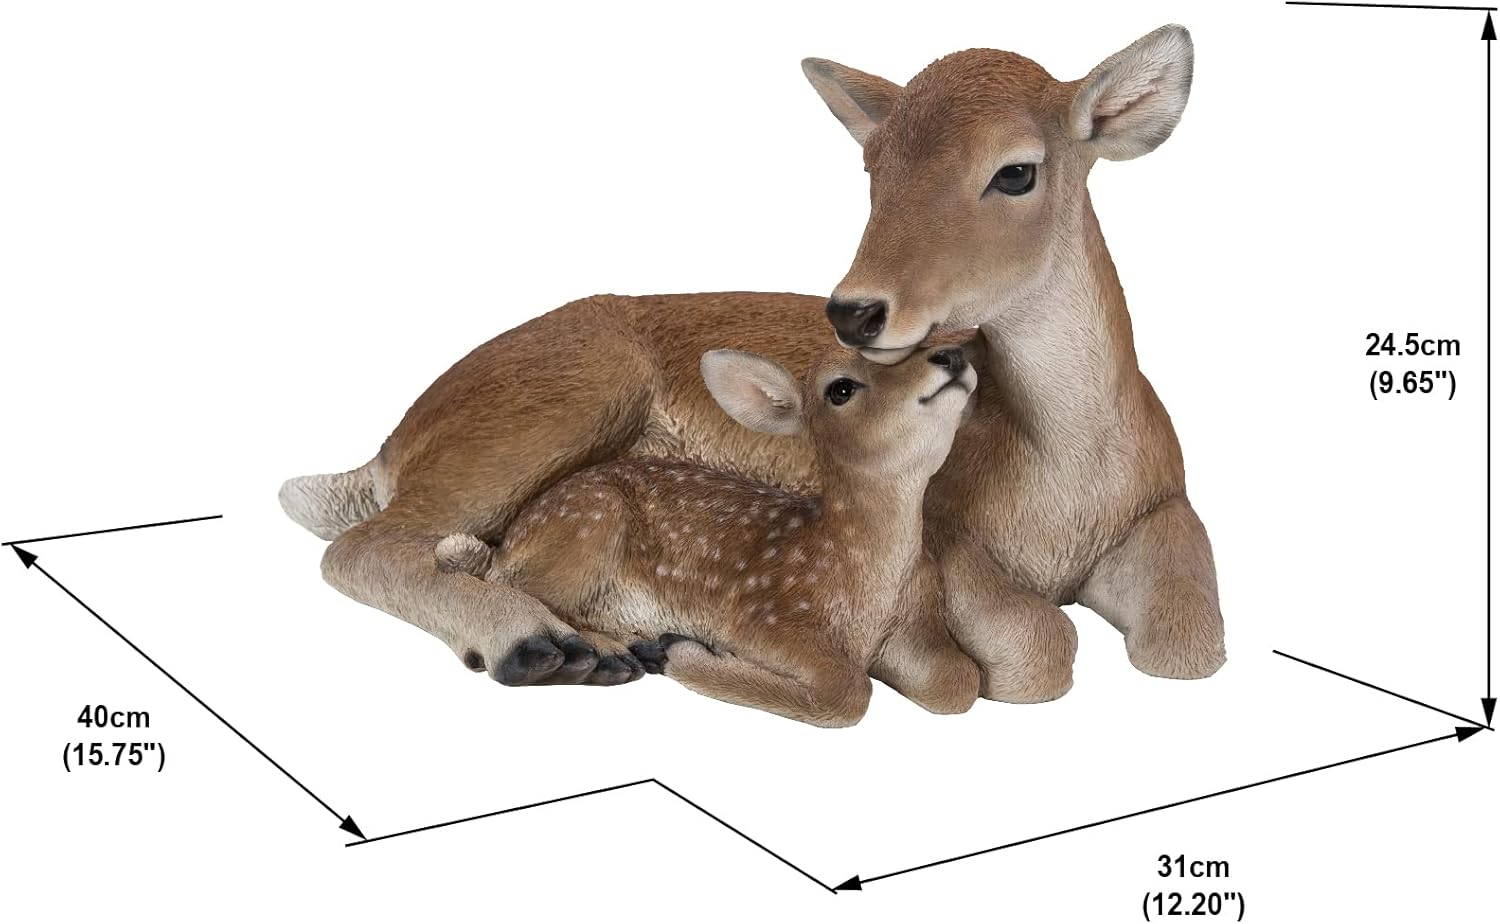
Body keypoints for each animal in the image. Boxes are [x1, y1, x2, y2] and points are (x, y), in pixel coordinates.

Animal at [430, 342, 981, 726]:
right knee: (512, 584)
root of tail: (513, 537)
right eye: (840, 388)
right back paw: (617, 650)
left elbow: (960, 681)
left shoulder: (917, 621)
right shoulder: (763, 612)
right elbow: (848, 690)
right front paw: (681, 651)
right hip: (591, 521)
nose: (951, 355)